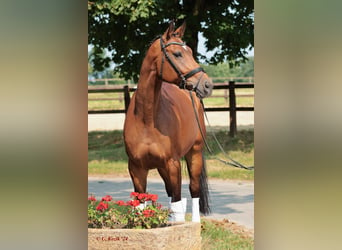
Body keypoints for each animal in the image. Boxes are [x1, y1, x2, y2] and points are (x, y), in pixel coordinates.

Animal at [123, 20, 214, 222]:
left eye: (190, 51)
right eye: (178, 53)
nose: (207, 85)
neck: (147, 119)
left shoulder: (173, 165)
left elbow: (178, 203)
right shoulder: (136, 168)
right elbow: (141, 205)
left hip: (194, 154)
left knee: (193, 190)